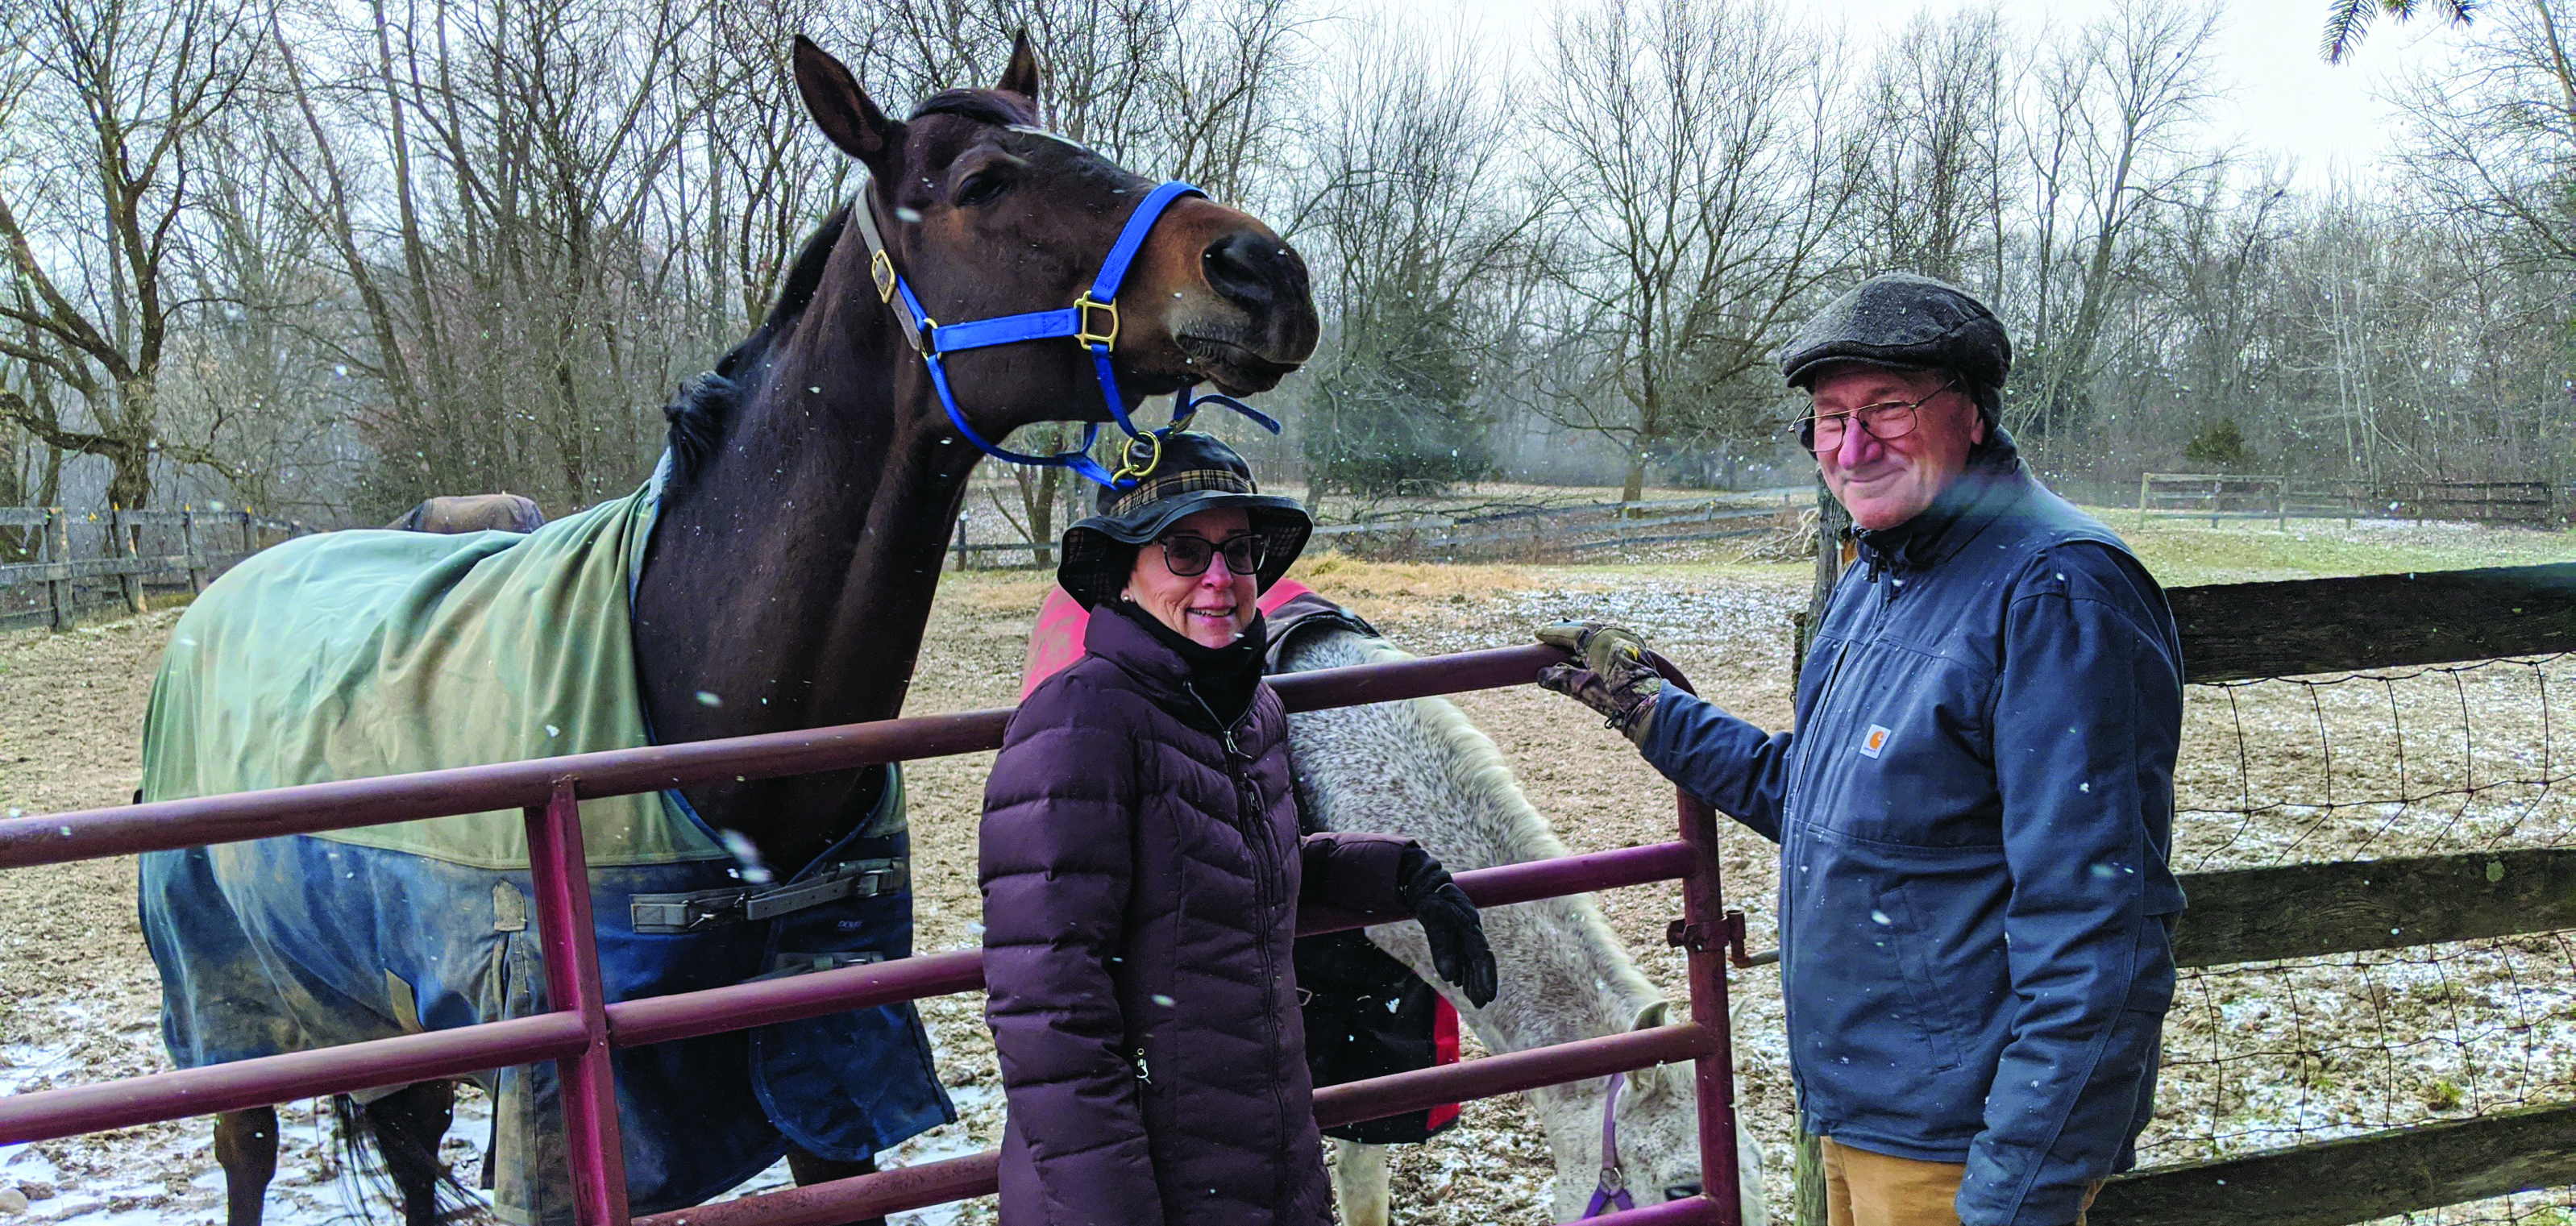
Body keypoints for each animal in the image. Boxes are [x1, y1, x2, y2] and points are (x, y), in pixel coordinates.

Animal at [184, 33, 1319, 1220]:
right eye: (982, 183)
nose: (1262, 269)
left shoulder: (827, 1068)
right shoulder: (577, 1119)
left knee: (407, 1147)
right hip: (235, 1024)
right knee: (251, 1151)